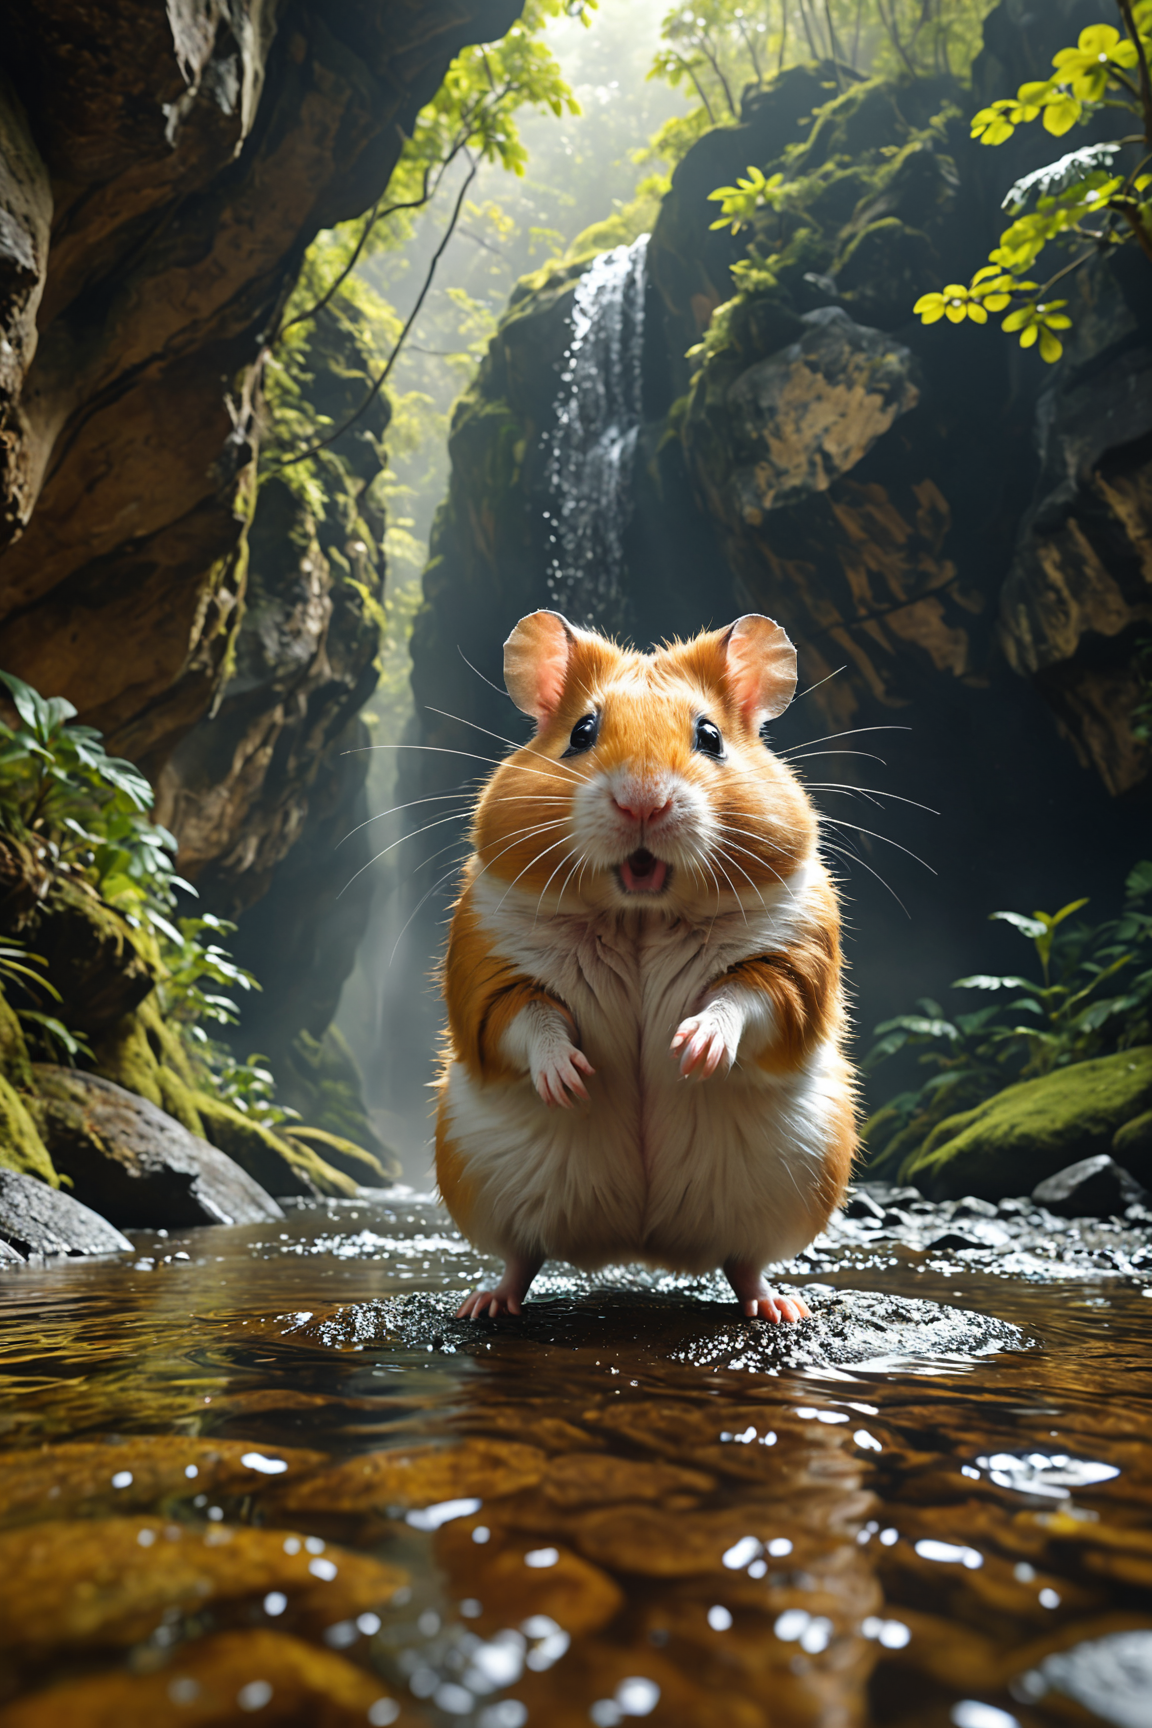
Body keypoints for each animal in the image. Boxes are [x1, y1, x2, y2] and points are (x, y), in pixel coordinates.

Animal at [436, 609, 857, 1324]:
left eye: (710, 736)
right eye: (581, 731)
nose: (642, 801)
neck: (640, 915)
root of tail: (639, 1244)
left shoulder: (791, 960)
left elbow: (742, 999)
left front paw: (693, 1050)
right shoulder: (488, 970)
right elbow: (531, 1019)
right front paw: (571, 1079)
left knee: (744, 1264)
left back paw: (778, 1307)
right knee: (523, 1255)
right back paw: (487, 1303)